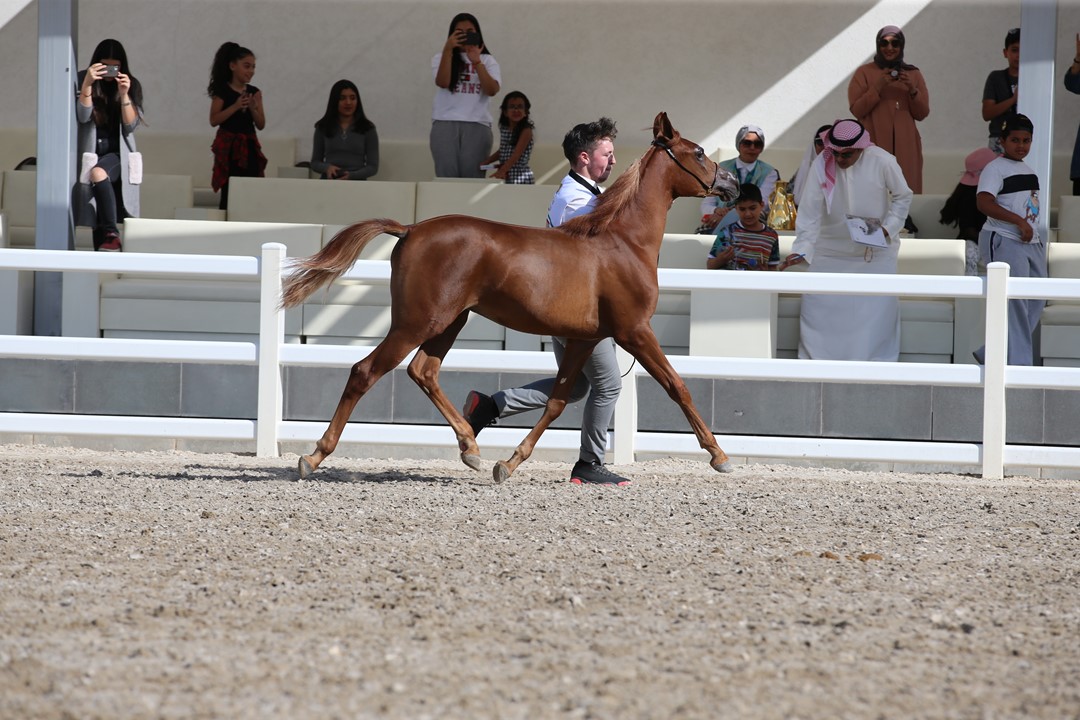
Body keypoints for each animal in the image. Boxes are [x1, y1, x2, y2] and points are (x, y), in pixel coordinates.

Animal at [281, 112, 739, 482]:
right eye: (699, 152)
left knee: (424, 372)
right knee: (365, 371)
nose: (733, 183)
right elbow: (677, 386)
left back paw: (472, 447)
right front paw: (719, 456)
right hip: (416, 322)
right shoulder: (635, 331)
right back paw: (313, 457)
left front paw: (509, 463)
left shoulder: (586, 339)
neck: (622, 242)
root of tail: (410, 229)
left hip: (449, 321)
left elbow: (557, 401)